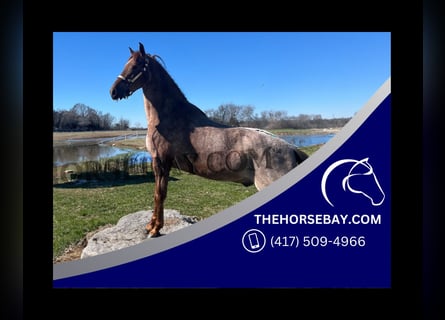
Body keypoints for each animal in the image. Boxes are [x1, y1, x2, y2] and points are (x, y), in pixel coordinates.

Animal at [109, 42, 306, 238]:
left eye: (136, 66)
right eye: (126, 64)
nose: (113, 91)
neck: (167, 118)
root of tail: (292, 149)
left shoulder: (161, 162)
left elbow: (159, 194)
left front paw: (155, 228)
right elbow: (158, 194)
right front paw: (151, 226)